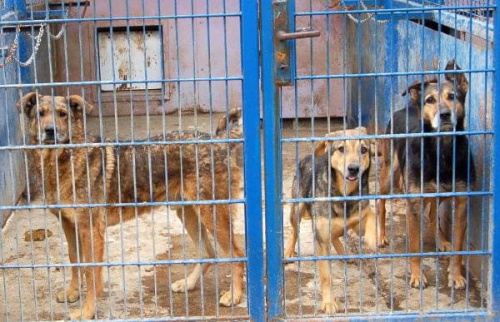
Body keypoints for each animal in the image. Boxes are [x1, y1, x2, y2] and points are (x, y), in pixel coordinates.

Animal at [17, 92, 246, 320]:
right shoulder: (69, 225)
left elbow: (91, 273)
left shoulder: (91, 230)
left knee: (237, 254)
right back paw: (188, 284)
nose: (50, 131)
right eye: (40, 113)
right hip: (188, 214)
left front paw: (87, 311)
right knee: (208, 253)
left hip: (212, 215)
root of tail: (219, 141)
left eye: (63, 114)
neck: (62, 161)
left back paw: (234, 296)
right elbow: (75, 261)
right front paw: (73, 292)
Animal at [284, 127, 376, 314]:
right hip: (297, 209)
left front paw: (373, 237)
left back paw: (345, 253)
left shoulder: (359, 219)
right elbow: (326, 276)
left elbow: (370, 215)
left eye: (363, 150)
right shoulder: (320, 240)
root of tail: (309, 156)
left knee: (336, 234)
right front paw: (328, 303)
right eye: (341, 148)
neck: (344, 194)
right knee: (295, 230)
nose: (353, 169)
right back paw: (289, 251)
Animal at [376, 59, 474, 290]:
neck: (442, 151)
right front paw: (417, 276)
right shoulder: (413, 202)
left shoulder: (462, 201)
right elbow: (414, 246)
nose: (445, 114)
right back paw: (381, 235)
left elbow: (459, 247)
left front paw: (455, 275)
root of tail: (406, 107)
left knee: (432, 215)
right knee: (380, 202)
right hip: (389, 172)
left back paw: (442, 240)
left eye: (453, 96)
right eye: (430, 100)